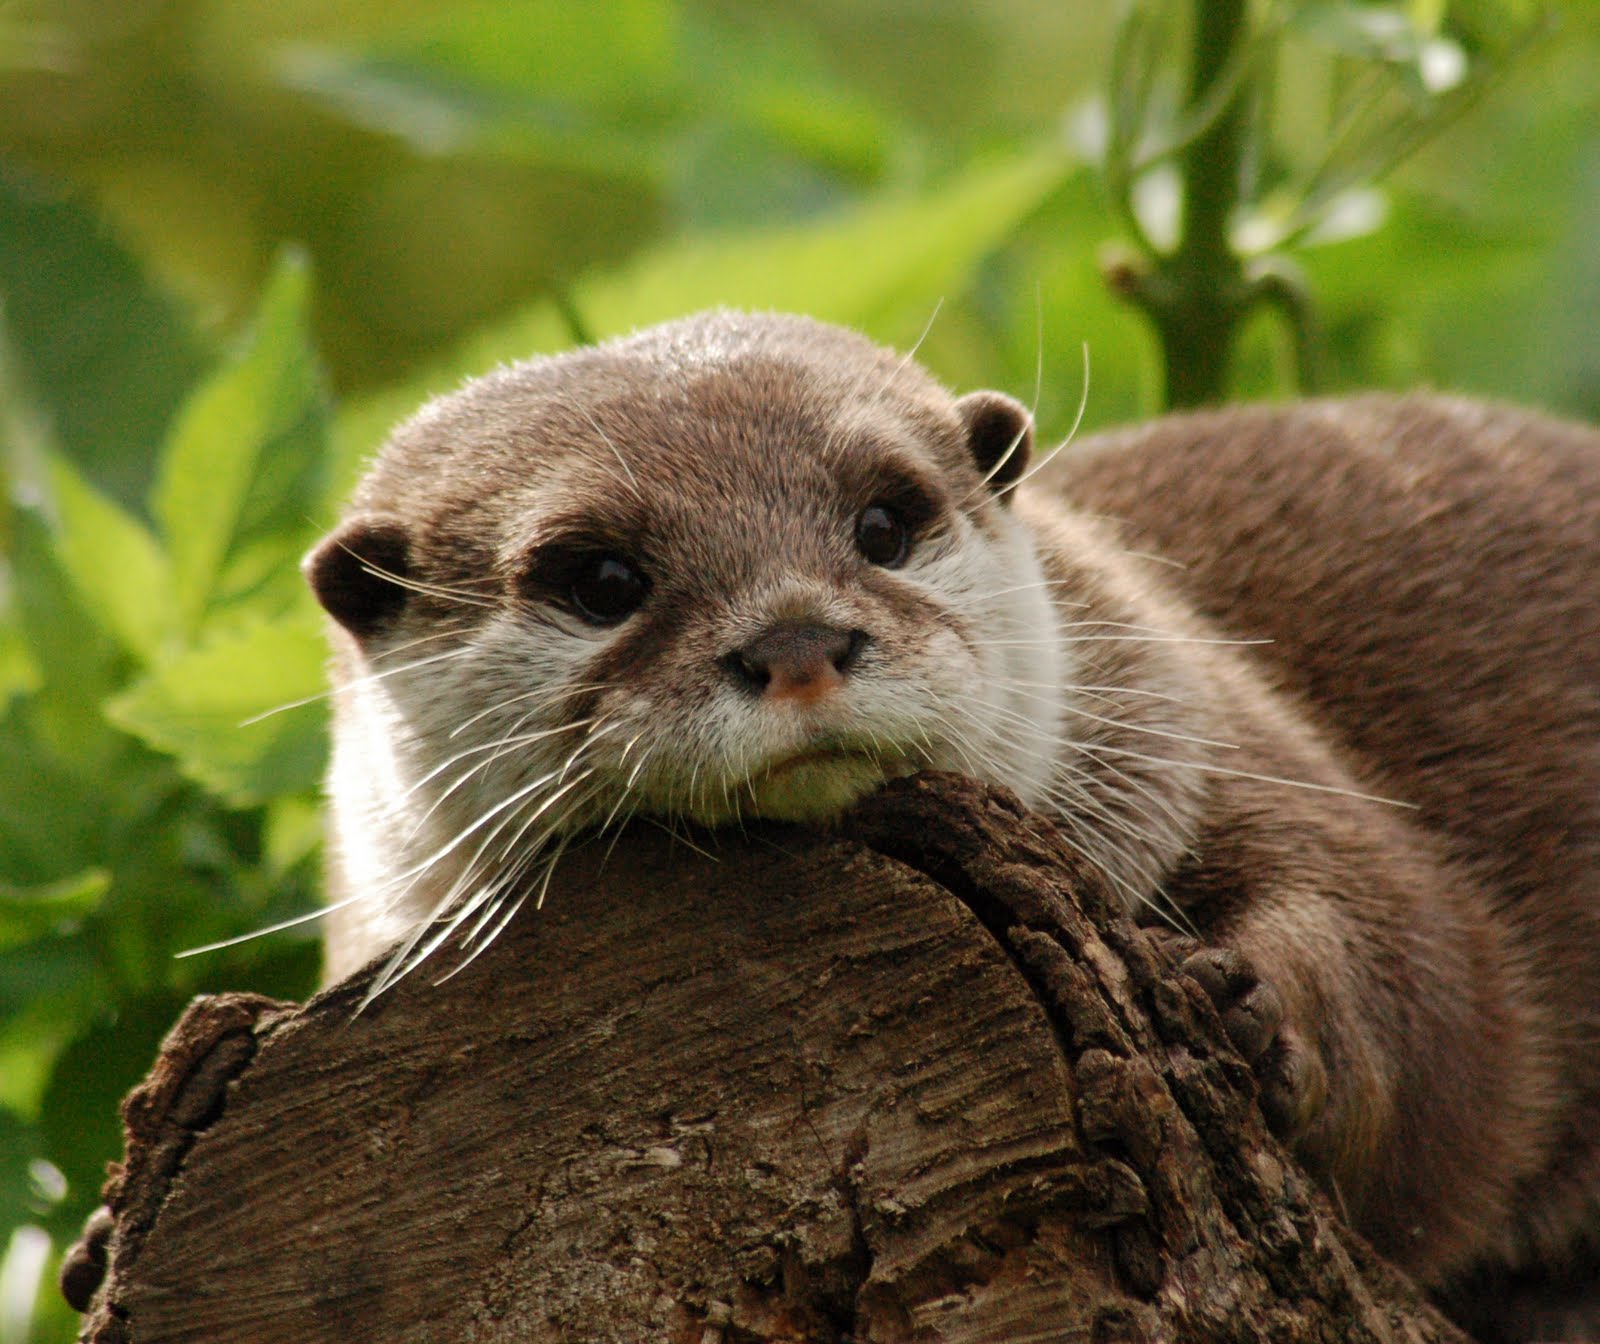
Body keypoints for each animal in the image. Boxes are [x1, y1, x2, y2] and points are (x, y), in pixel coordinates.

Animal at [304, 310, 1600, 1339]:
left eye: (883, 523)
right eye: (602, 579)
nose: (796, 640)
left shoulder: (1200, 725)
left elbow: (1430, 987)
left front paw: (1252, 1003)